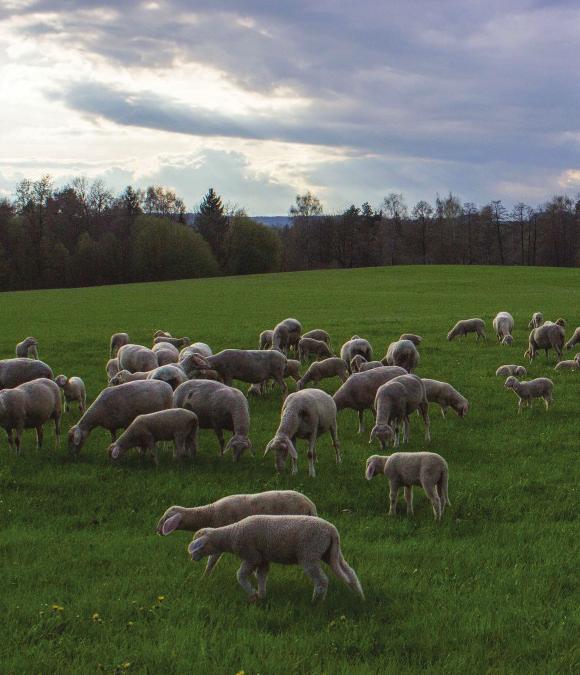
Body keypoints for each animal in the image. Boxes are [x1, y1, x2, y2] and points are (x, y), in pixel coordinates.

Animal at [156, 492, 318, 576]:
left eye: (166, 518)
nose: (157, 530)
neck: (209, 513)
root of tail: (311, 507)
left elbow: (212, 560)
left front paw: (205, 576)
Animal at [188, 516, 364, 604]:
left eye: (199, 547)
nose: (193, 559)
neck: (231, 535)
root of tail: (332, 531)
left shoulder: (251, 556)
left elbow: (240, 575)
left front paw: (252, 593)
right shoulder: (263, 559)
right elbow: (262, 576)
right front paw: (261, 595)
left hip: (309, 554)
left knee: (322, 580)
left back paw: (316, 602)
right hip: (331, 553)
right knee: (350, 573)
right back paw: (359, 596)